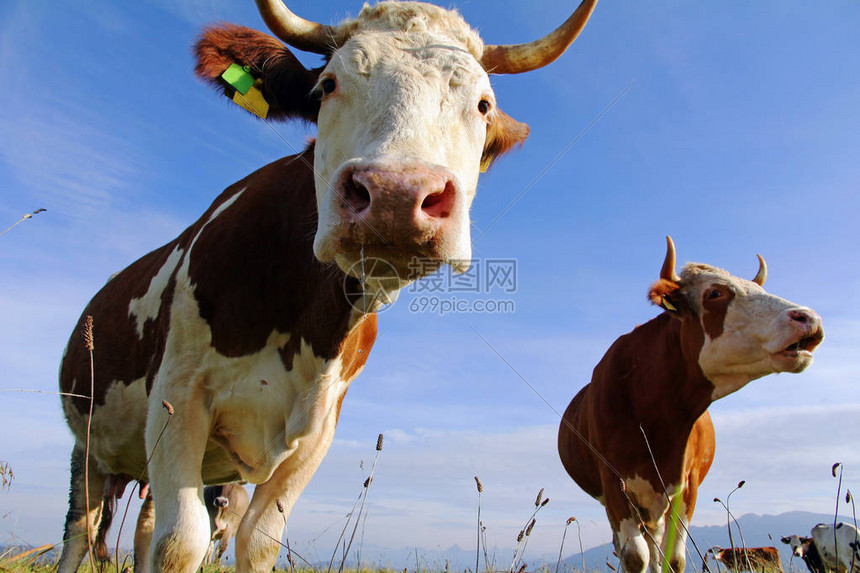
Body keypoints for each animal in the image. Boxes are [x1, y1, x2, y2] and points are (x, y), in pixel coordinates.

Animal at [556, 237, 828, 572]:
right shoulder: (613, 483)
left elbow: (672, 557)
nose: (809, 318)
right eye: (715, 293)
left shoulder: (688, 484)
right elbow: (634, 556)